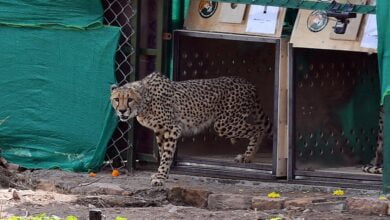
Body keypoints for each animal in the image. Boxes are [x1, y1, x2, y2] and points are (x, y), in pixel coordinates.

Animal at [110, 72, 272, 186]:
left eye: (129, 99)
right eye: (117, 99)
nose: (122, 111)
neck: (144, 100)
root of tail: (247, 82)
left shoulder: (172, 129)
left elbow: (167, 154)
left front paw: (161, 177)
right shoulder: (160, 131)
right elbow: (163, 152)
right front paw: (162, 174)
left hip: (224, 124)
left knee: (258, 129)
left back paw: (248, 156)